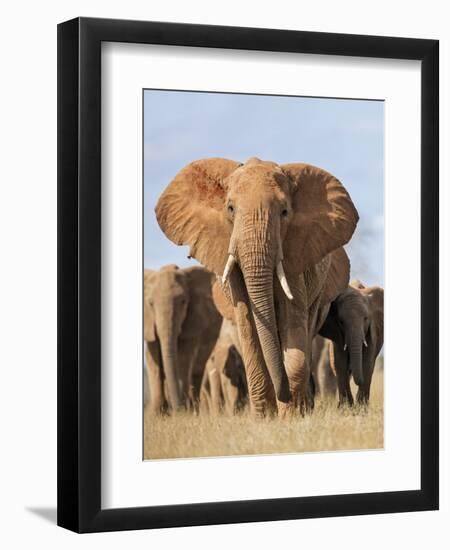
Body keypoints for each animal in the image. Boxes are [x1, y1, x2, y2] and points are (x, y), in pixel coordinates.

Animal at [144, 266, 221, 414]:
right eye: (150, 303)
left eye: (183, 302)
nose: (177, 410)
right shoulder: (149, 324)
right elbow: (153, 360)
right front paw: (158, 414)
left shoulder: (193, 320)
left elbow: (183, 358)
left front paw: (184, 412)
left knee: (197, 371)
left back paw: (194, 409)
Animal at [155, 157, 358, 416]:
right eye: (230, 209)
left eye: (284, 212)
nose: (285, 396)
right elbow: (249, 329)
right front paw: (266, 417)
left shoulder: (296, 255)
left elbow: (293, 323)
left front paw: (291, 415)